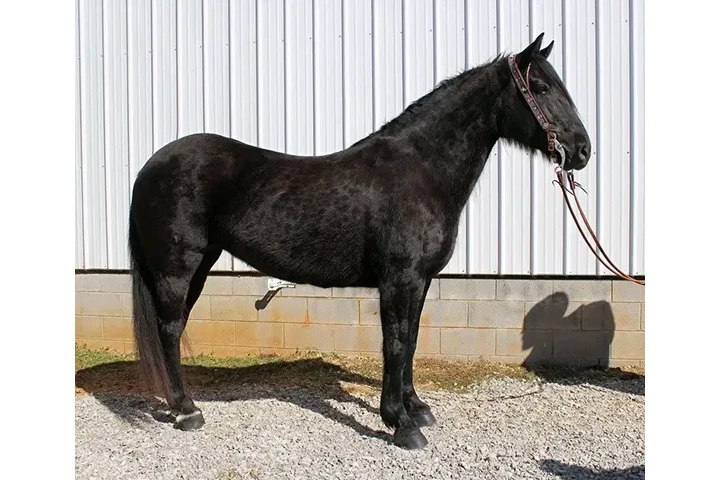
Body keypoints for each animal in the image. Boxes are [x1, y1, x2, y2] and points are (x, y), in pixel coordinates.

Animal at [128, 33, 591, 450]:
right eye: (541, 87)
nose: (583, 150)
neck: (421, 171)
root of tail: (151, 165)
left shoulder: (420, 281)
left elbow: (412, 340)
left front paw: (416, 407)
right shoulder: (399, 280)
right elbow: (396, 343)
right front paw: (401, 424)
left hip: (199, 265)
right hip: (177, 269)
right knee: (169, 329)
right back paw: (186, 410)